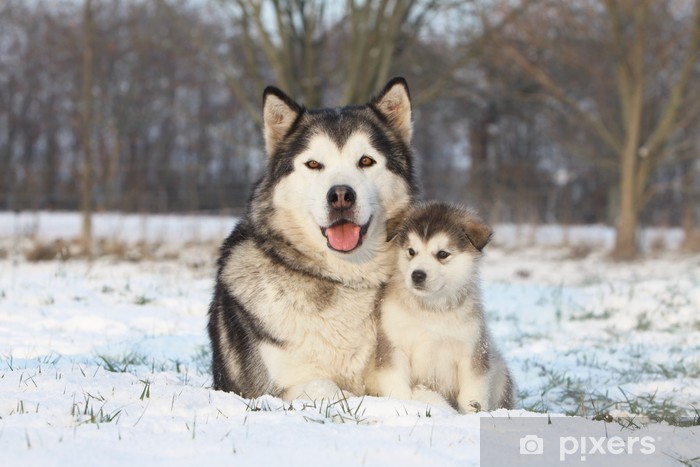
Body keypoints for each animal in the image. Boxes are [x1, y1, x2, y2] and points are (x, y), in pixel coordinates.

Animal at [206, 78, 416, 400]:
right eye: (314, 164)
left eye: (366, 161)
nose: (340, 195)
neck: (343, 277)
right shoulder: (281, 387)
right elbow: (332, 389)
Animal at [366, 202, 516, 414]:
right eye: (411, 251)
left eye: (442, 254)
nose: (417, 275)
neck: (431, 311)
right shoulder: (393, 346)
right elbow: (398, 386)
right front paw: (404, 404)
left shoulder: (472, 352)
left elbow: (472, 394)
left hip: (500, 371)